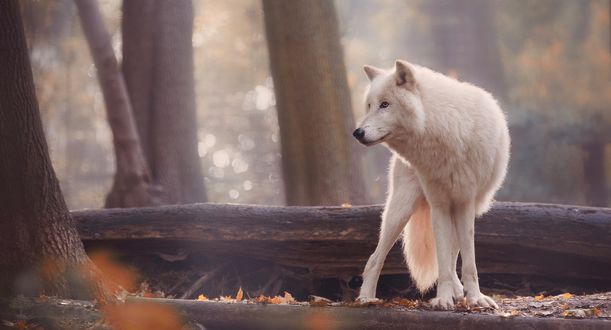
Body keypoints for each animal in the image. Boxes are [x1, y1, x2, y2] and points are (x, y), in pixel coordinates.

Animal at [354, 60, 512, 310]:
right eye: (369, 106)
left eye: (385, 104)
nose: (357, 132)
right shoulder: (439, 205)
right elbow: (444, 262)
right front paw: (443, 299)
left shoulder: (465, 202)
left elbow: (468, 262)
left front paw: (475, 298)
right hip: (400, 210)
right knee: (374, 259)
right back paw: (366, 298)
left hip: (468, 207)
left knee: (454, 255)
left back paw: (459, 291)